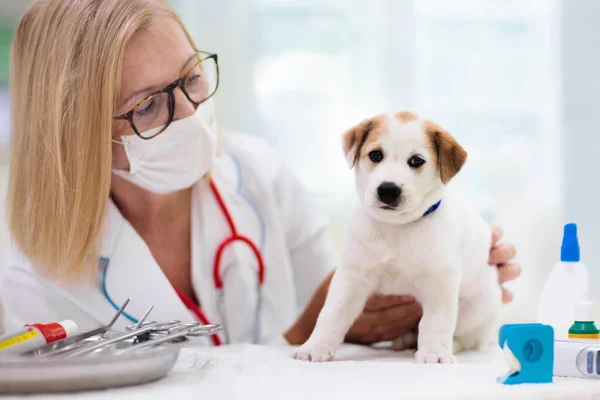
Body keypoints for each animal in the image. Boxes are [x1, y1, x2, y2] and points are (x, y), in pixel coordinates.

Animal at [292, 111, 504, 364]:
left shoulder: (440, 281)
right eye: (375, 155)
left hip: (477, 307)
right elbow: (332, 313)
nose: (388, 189)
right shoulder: (352, 276)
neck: (395, 228)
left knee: (466, 337)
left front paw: (434, 353)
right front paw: (315, 346)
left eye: (416, 161)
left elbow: (437, 321)